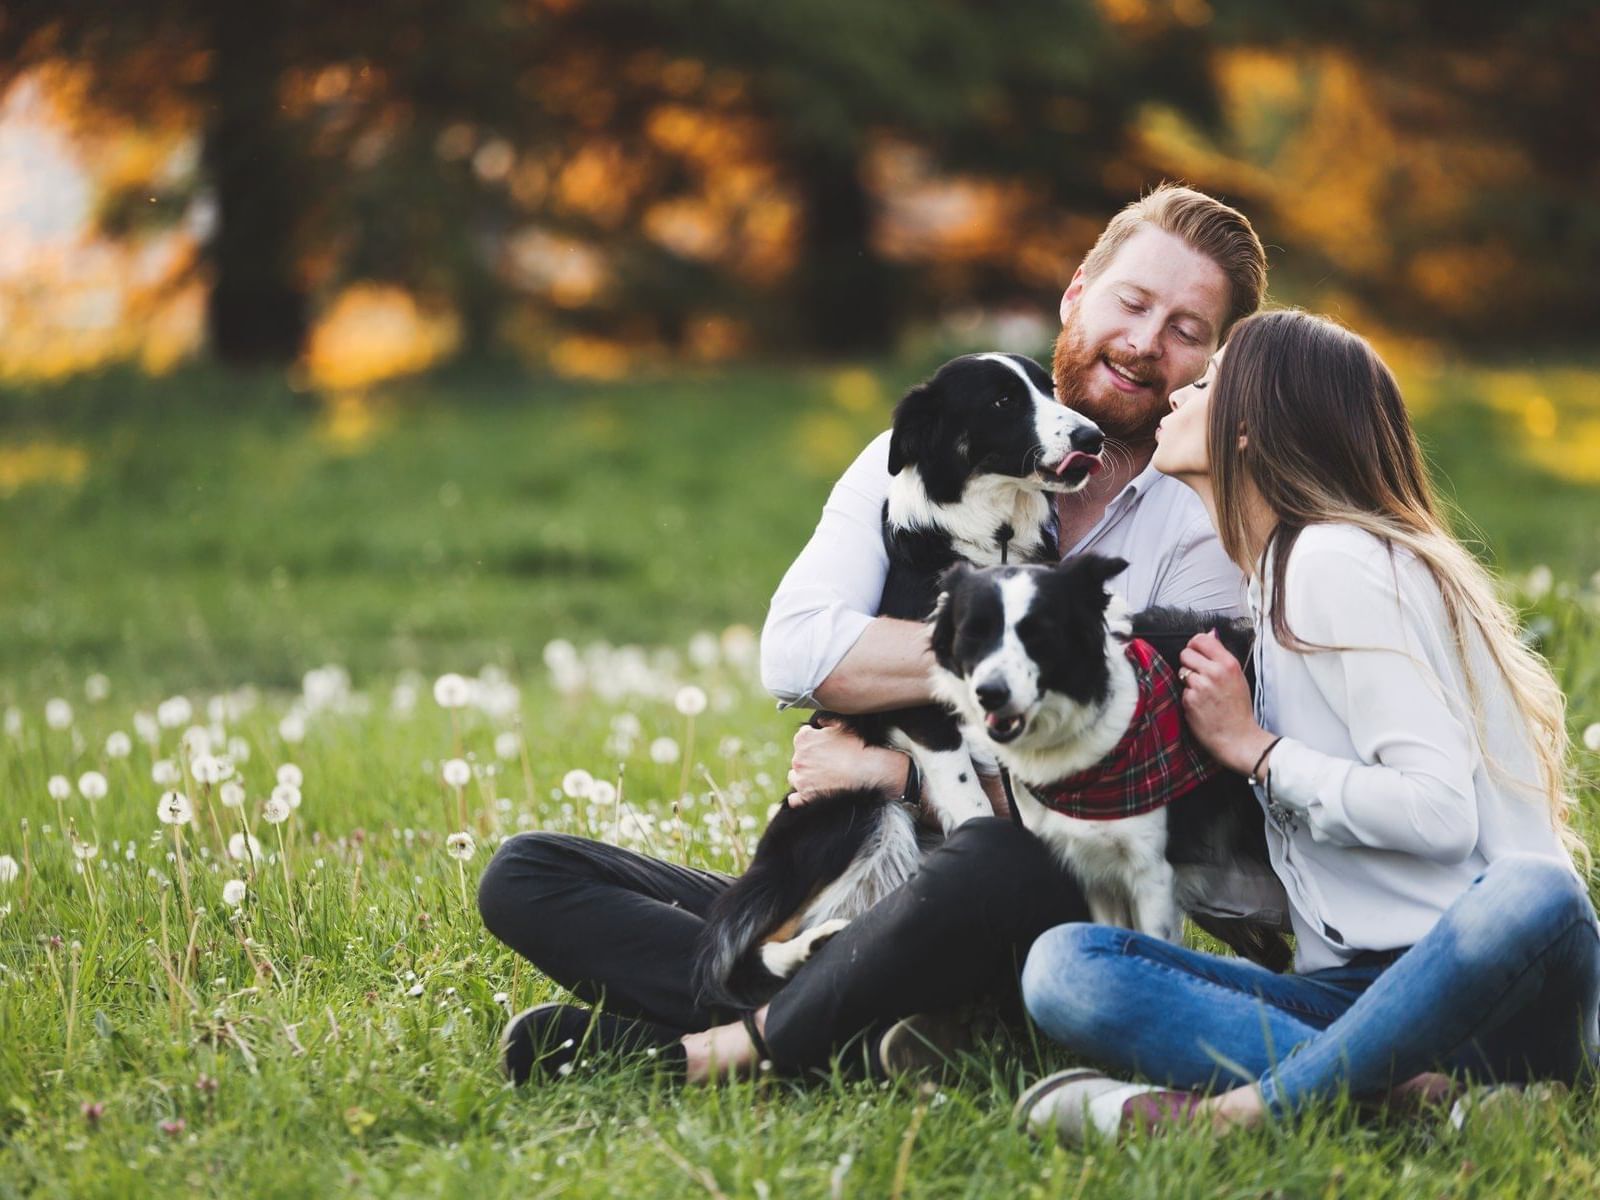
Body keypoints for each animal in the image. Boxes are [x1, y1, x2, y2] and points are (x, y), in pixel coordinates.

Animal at [694, 352, 1107, 1011]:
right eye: (1002, 401)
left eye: (1049, 388)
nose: (1093, 437)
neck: (996, 538)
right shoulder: (922, 707)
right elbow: (972, 798)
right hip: (858, 811)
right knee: (752, 952)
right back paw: (810, 948)